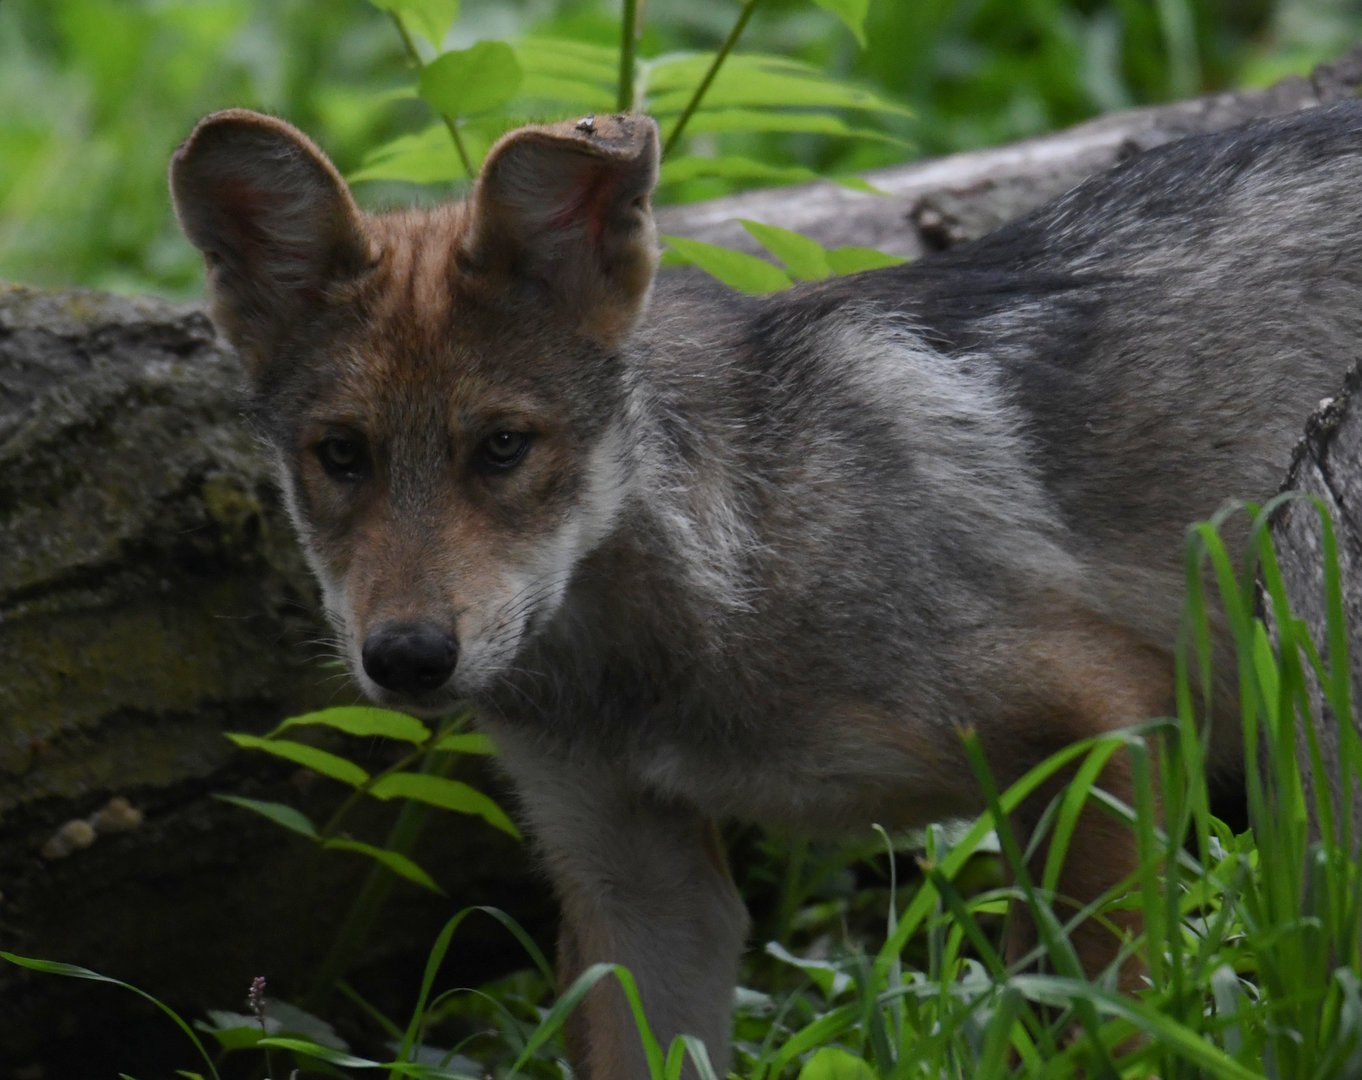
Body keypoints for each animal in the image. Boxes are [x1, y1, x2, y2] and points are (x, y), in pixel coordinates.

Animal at [170, 101, 1361, 1076]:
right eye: (341, 456)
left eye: (503, 447)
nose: (409, 657)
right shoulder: (637, 888)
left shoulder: (1101, 721)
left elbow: (1089, 1032)